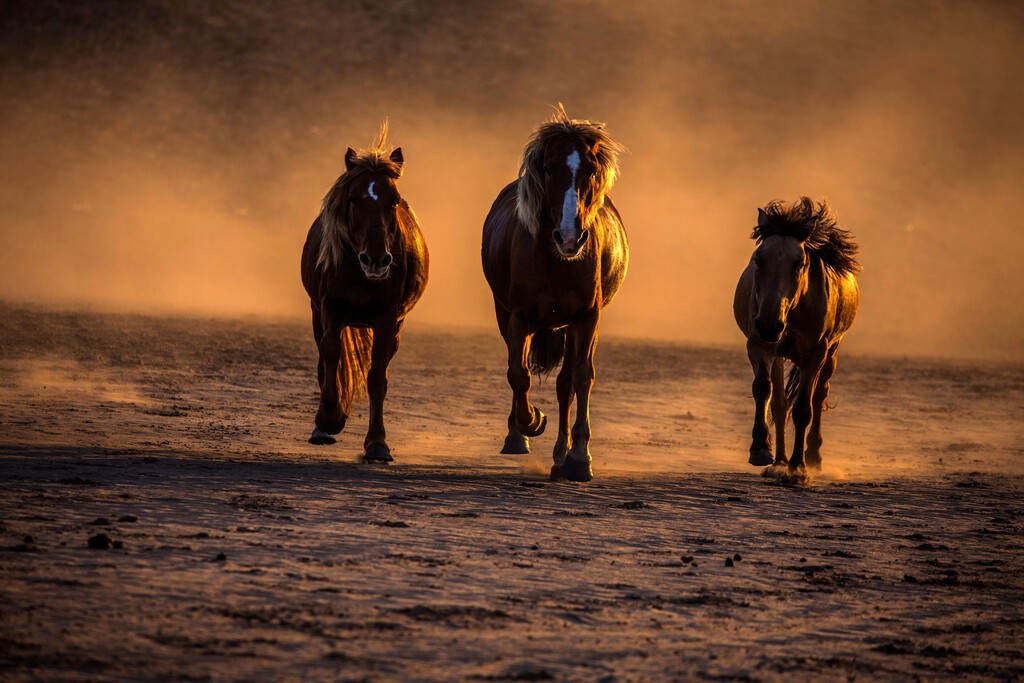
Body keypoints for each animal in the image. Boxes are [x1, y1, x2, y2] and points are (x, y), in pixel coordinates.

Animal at [299, 123, 428, 464]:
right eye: (354, 199)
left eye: (394, 200)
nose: (376, 260)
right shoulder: (329, 307)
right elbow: (331, 354)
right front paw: (329, 419)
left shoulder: (386, 319)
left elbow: (376, 377)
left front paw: (378, 443)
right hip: (318, 314)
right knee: (324, 360)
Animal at [481, 105, 630, 481]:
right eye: (548, 168)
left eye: (591, 169)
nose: (569, 237)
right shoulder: (518, 318)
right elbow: (518, 374)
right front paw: (530, 423)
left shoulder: (587, 319)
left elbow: (581, 378)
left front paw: (579, 457)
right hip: (509, 317)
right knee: (518, 369)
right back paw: (518, 436)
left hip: (573, 327)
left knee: (565, 384)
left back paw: (562, 454)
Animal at [733, 197, 860, 473]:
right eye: (758, 260)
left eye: (799, 264)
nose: (769, 324)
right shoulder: (759, 344)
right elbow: (764, 390)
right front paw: (760, 449)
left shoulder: (816, 352)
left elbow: (804, 407)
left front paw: (798, 465)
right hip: (778, 353)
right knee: (780, 404)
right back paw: (780, 460)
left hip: (832, 352)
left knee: (819, 395)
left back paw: (811, 456)